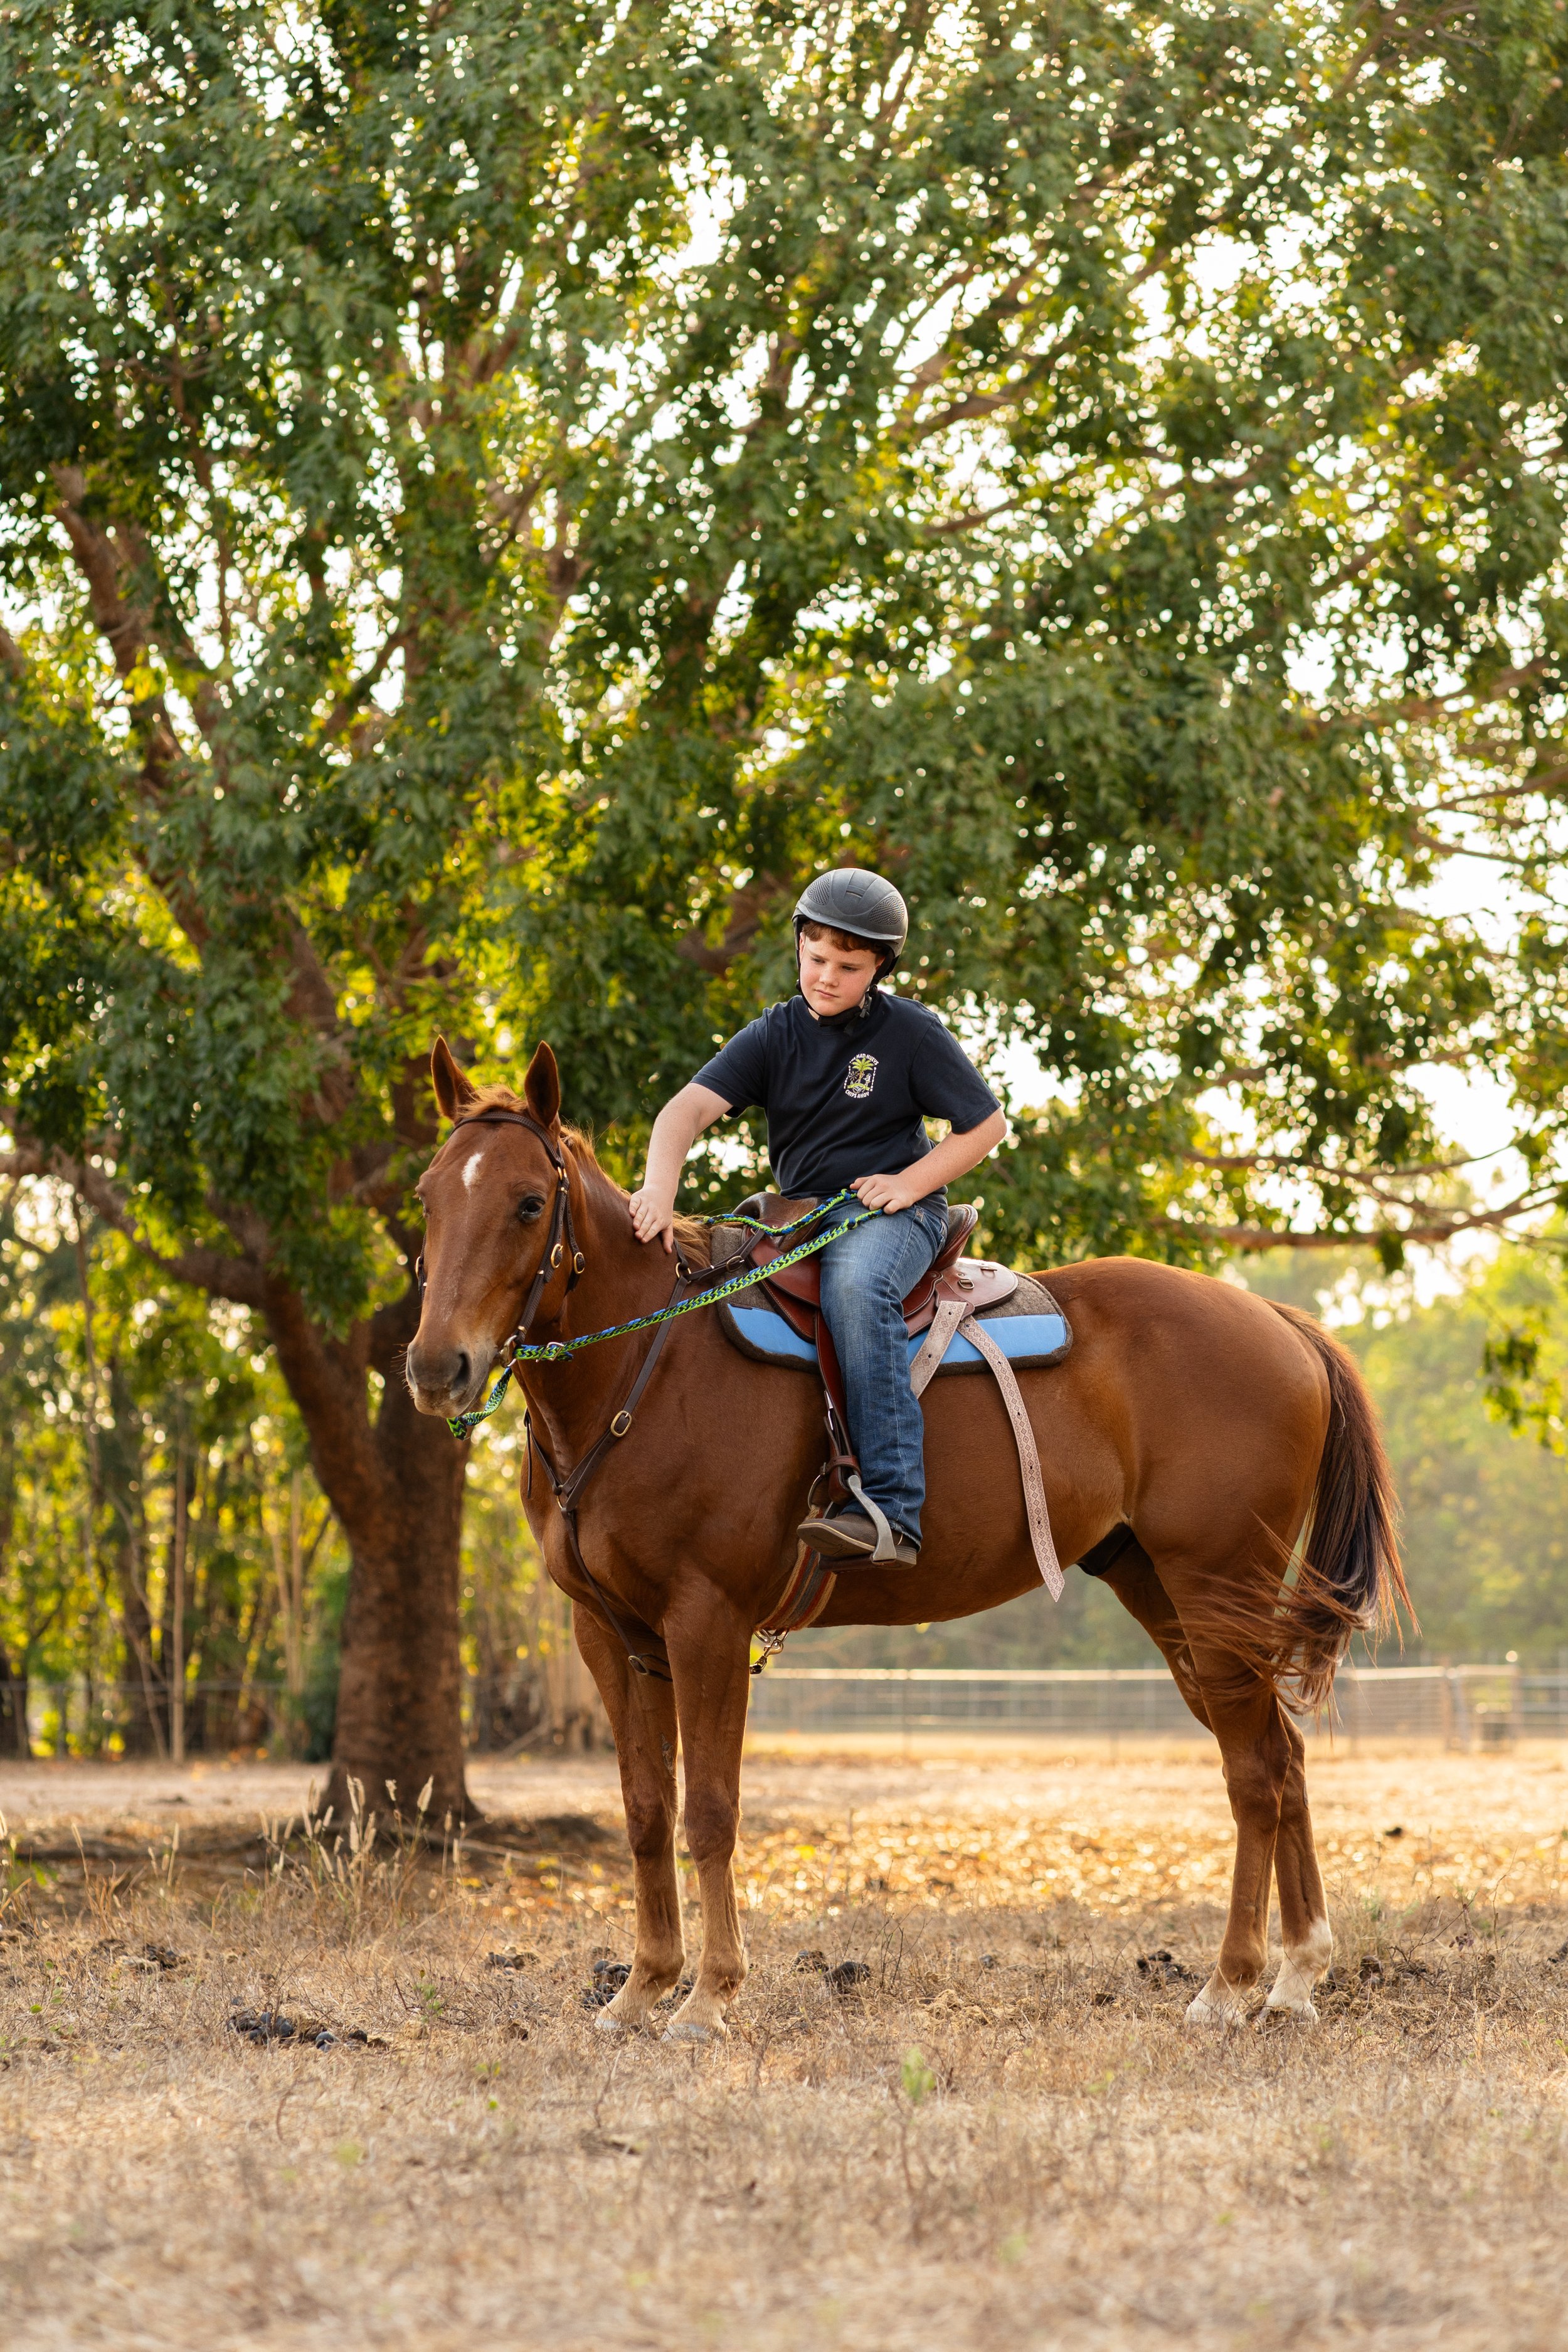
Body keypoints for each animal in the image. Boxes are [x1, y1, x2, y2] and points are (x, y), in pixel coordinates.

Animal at [406, 1037, 1404, 2038]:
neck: (646, 1367)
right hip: (1165, 1593)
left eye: (528, 1202)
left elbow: (711, 1812)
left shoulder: (707, 1621)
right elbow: (647, 1810)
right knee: (1282, 1756)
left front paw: (709, 1996)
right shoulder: (611, 1633)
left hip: (1216, 1587)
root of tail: (1280, 1324)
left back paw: (1229, 1984)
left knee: (1254, 1773)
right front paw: (642, 1987)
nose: (435, 1366)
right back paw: (1295, 1977)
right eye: (426, 1196)